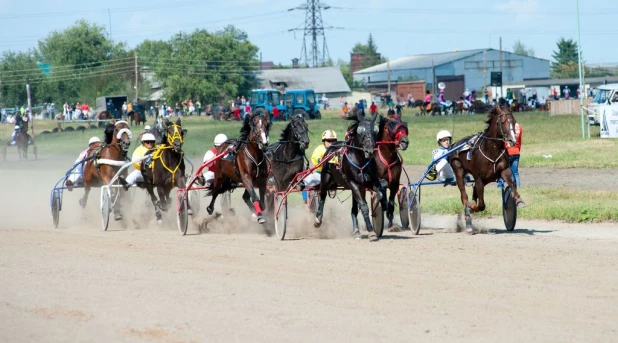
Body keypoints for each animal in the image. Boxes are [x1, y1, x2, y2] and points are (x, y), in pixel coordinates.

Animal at [312, 111, 384, 242]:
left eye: (375, 130)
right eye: (360, 131)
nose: (369, 151)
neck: (360, 161)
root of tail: (331, 147)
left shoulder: (370, 181)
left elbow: (380, 194)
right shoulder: (353, 183)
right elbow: (364, 206)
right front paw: (371, 232)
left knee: (354, 208)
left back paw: (356, 231)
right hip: (326, 178)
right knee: (322, 195)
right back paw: (318, 219)